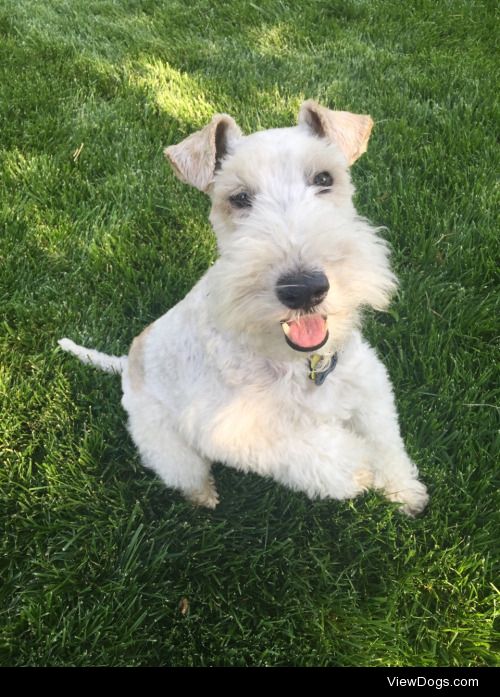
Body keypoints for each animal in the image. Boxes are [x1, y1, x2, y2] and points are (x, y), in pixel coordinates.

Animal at [57, 98, 426, 512]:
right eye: (239, 198)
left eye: (324, 178)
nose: (304, 289)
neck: (301, 365)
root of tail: (125, 365)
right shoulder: (229, 428)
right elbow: (318, 452)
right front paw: (358, 469)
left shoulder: (368, 384)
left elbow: (385, 442)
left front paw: (405, 492)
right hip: (167, 443)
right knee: (183, 471)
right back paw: (204, 497)